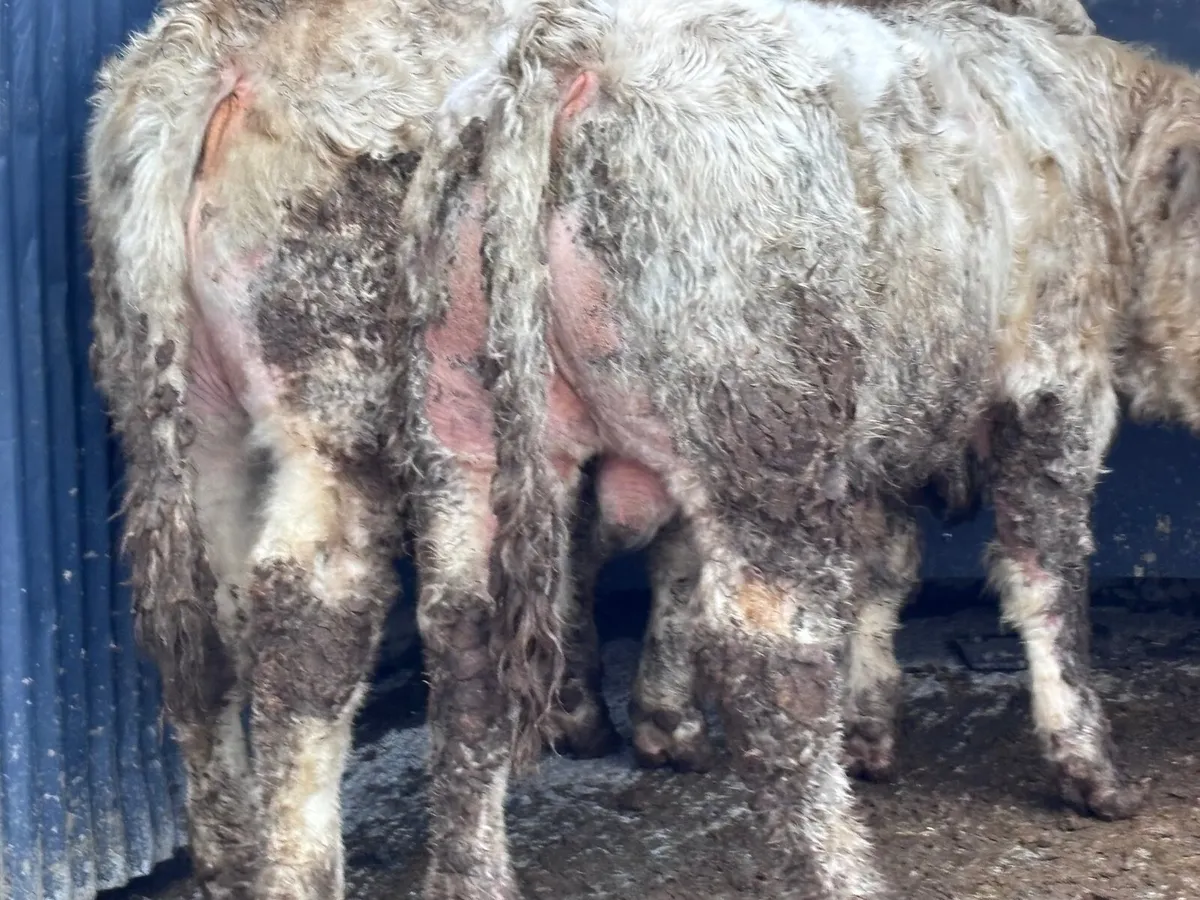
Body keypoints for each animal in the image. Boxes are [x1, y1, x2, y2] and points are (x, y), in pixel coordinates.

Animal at [83, 0, 1098, 897]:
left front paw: (597, 708)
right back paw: (299, 868)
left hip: (192, 417)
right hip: (336, 403)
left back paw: (229, 858)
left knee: (204, 627)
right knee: (309, 615)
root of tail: (216, 43)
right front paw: (664, 719)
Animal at [394, 0, 1200, 895]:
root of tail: (572, 46)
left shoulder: (888, 427)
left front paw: (868, 728)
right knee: (768, 661)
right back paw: (844, 871)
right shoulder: (1055, 385)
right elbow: (1047, 577)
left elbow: (887, 567)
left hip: (462, 427)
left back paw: (474, 874)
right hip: (767, 441)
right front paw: (1092, 772)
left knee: (465, 640)